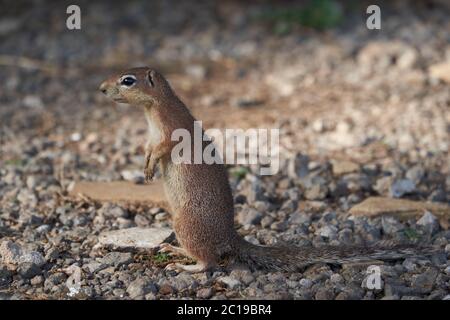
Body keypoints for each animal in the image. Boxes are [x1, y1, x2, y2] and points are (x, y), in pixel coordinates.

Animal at [100, 67, 438, 272]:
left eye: (128, 80)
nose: (101, 89)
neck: (152, 109)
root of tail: (230, 235)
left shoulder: (171, 131)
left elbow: (163, 148)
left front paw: (151, 167)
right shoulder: (151, 136)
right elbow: (148, 149)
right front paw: (145, 166)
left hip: (185, 224)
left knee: (211, 262)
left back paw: (186, 264)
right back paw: (177, 252)